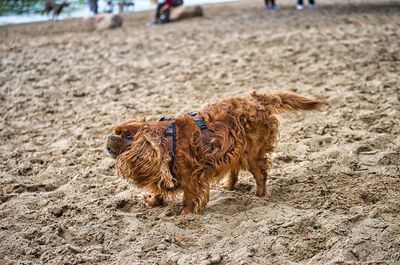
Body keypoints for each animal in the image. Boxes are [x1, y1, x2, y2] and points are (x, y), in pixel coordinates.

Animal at [106, 91, 324, 212]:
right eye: (115, 132)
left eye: (128, 137)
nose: (109, 137)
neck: (166, 142)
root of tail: (257, 100)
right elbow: (160, 188)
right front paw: (154, 201)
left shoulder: (192, 177)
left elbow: (189, 198)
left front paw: (184, 216)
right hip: (236, 150)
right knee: (235, 169)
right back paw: (229, 186)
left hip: (251, 154)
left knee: (260, 174)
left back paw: (259, 196)